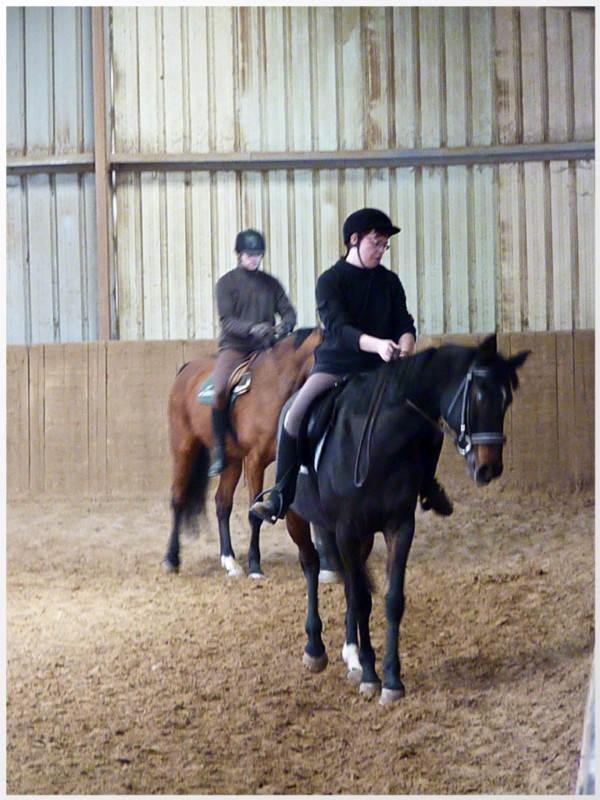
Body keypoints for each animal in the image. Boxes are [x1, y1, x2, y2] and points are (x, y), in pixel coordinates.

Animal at [162, 328, 322, 580]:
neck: (274, 385)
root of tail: (186, 370)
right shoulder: (255, 461)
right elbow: (254, 515)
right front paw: (255, 566)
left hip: (232, 461)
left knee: (222, 503)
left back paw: (229, 561)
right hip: (184, 448)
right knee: (178, 498)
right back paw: (171, 559)